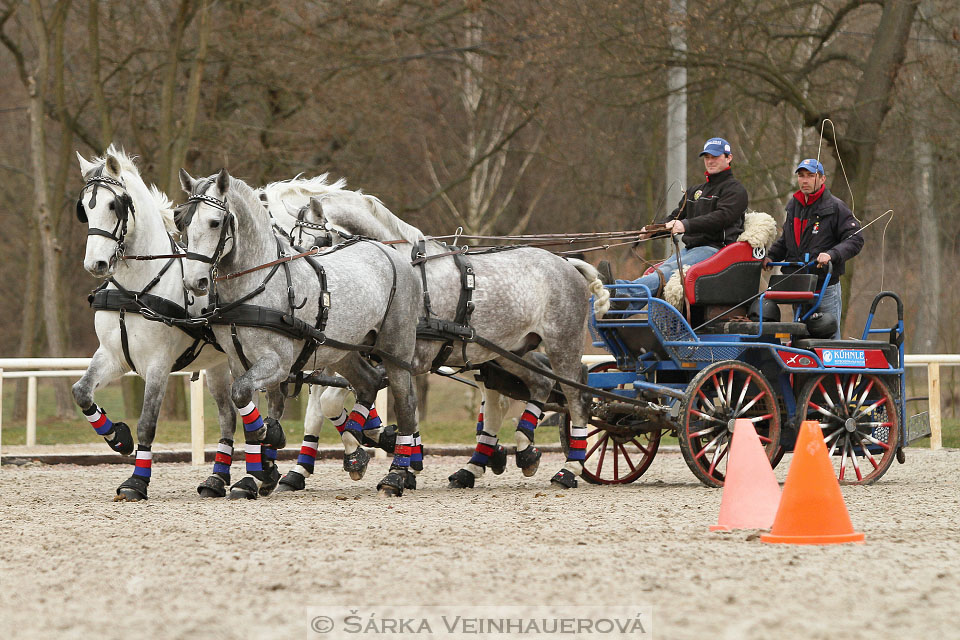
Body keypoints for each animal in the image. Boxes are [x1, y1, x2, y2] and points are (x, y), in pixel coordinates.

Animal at [178, 169, 422, 496]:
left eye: (215, 222)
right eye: (183, 221)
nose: (195, 282)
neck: (256, 283)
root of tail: (388, 251)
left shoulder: (277, 362)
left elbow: (243, 394)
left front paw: (267, 442)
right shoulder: (239, 360)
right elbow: (252, 403)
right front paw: (259, 470)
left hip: (395, 351)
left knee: (405, 405)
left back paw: (395, 475)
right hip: (343, 350)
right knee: (369, 383)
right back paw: (355, 444)